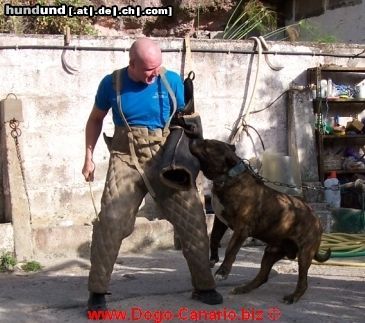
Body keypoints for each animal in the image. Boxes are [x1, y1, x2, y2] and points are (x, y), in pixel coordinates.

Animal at [189, 139, 332, 304]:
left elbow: (231, 250)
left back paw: (293, 296)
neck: (228, 178)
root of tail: (316, 218)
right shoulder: (220, 221)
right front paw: (213, 259)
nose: (193, 139)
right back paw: (243, 288)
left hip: (304, 254)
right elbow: (213, 238)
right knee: (263, 276)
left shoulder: (241, 229)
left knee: (303, 282)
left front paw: (222, 272)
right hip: (271, 252)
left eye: (206, 144)